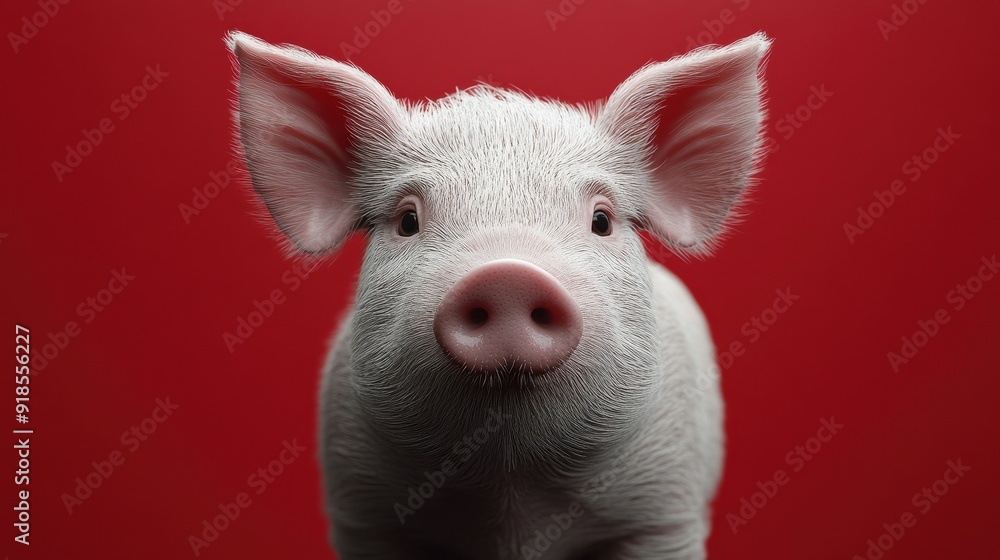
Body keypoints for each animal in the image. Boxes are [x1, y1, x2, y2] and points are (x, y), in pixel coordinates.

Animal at [226, 30, 770, 560]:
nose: (508, 275)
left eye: (602, 220)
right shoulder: (363, 513)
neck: (511, 486)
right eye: (407, 221)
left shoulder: (664, 512)